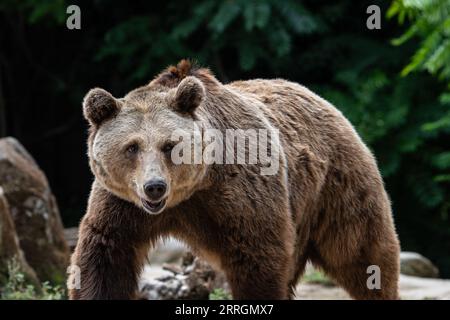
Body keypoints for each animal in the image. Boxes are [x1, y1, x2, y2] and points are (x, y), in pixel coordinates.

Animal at [69, 58, 400, 298]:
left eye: (170, 145)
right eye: (132, 147)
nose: (154, 187)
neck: (190, 191)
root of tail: (323, 101)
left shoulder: (241, 193)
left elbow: (259, 259)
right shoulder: (121, 203)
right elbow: (105, 255)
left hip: (336, 188)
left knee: (364, 256)